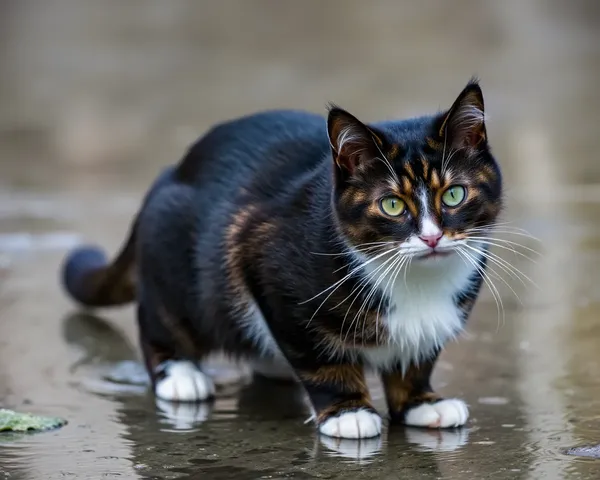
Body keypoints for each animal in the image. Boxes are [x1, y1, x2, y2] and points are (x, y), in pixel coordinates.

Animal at [61, 78, 502, 438]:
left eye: (454, 194)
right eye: (391, 204)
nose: (431, 237)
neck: (418, 281)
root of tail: (171, 172)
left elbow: (418, 357)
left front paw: (420, 402)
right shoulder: (266, 262)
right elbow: (318, 355)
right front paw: (348, 412)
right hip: (172, 252)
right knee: (159, 318)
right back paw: (181, 375)